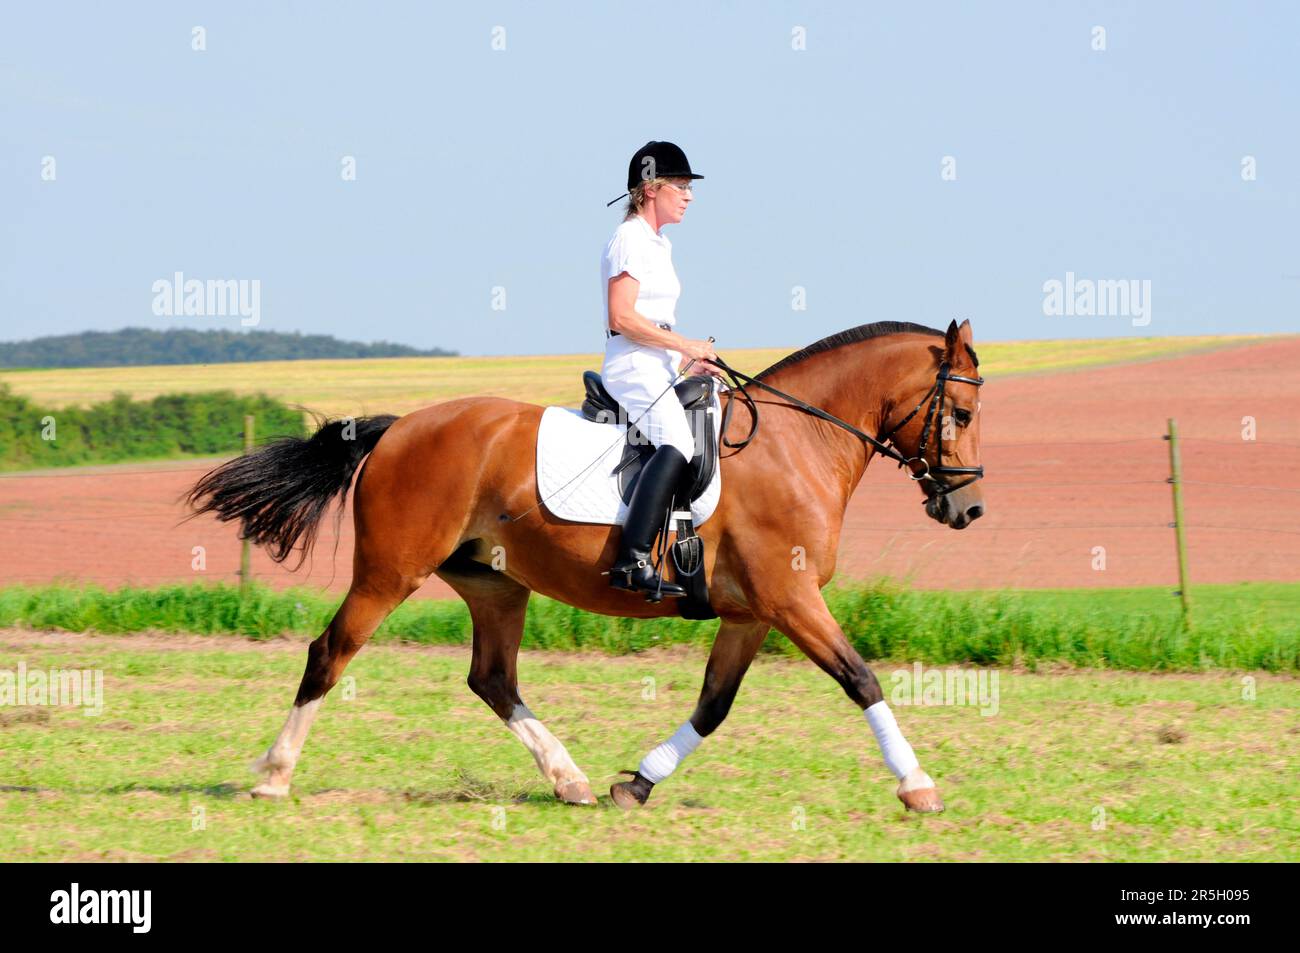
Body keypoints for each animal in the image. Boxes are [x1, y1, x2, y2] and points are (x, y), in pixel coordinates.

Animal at [186, 318, 985, 812]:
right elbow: (861, 678)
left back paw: (567, 778)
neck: (797, 443)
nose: (969, 509)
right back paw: (274, 776)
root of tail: (399, 427)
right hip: (390, 573)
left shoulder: (753, 612)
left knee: (493, 679)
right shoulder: (790, 599)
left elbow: (713, 704)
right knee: (332, 651)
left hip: (494, 584)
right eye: (963, 415)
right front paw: (918, 785)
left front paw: (637, 784)